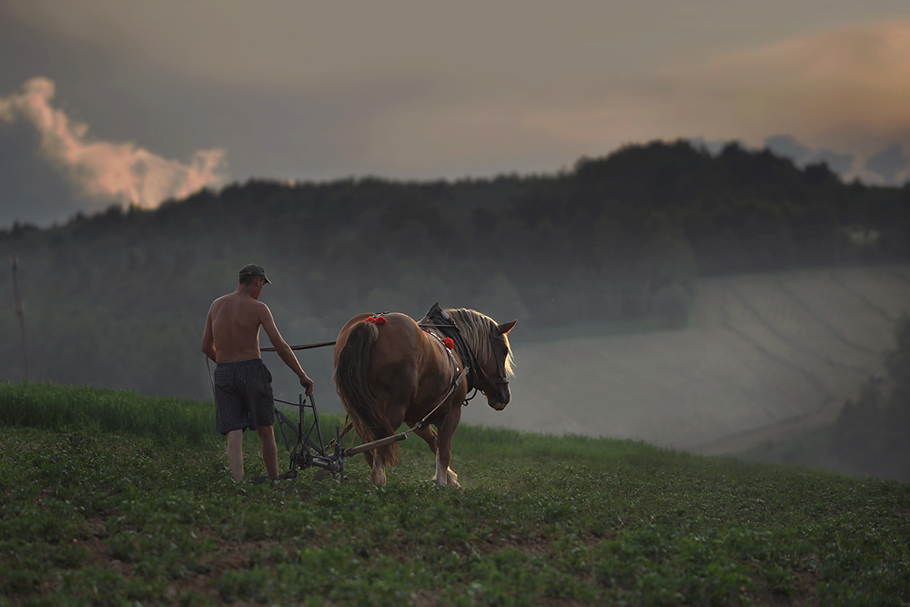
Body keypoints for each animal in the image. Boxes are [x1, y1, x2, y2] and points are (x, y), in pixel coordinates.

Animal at [336, 306, 520, 486]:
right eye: (504, 351)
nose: (504, 396)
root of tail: (373, 323)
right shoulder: (452, 412)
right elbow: (444, 451)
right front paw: (441, 484)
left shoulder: (417, 417)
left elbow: (434, 442)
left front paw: (450, 478)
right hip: (393, 408)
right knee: (381, 438)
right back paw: (378, 478)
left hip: (362, 408)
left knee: (370, 443)